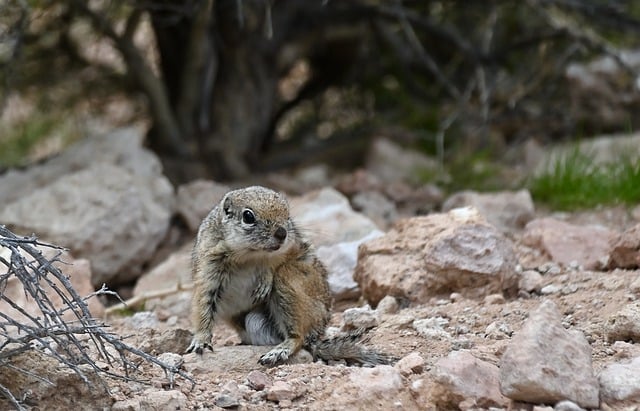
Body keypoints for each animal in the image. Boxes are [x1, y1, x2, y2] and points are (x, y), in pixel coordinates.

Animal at [188, 187, 392, 366]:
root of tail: (316, 336)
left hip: (288, 285)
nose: (282, 233)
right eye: (248, 216)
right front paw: (201, 341)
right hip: (254, 322)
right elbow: (203, 308)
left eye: (287, 213)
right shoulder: (209, 271)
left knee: (298, 337)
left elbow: (278, 262)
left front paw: (265, 278)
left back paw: (278, 351)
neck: (248, 255)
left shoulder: (292, 248)